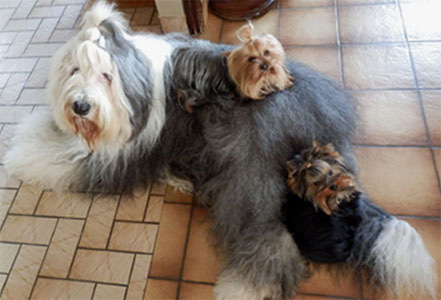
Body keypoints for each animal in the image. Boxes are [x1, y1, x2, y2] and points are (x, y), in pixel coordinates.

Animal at [5, 2, 434, 300]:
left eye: (106, 75)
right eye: (74, 70)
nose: (79, 106)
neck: (135, 85)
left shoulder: (121, 152)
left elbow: (57, 157)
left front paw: (20, 153)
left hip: (249, 172)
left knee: (263, 234)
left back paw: (245, 287)